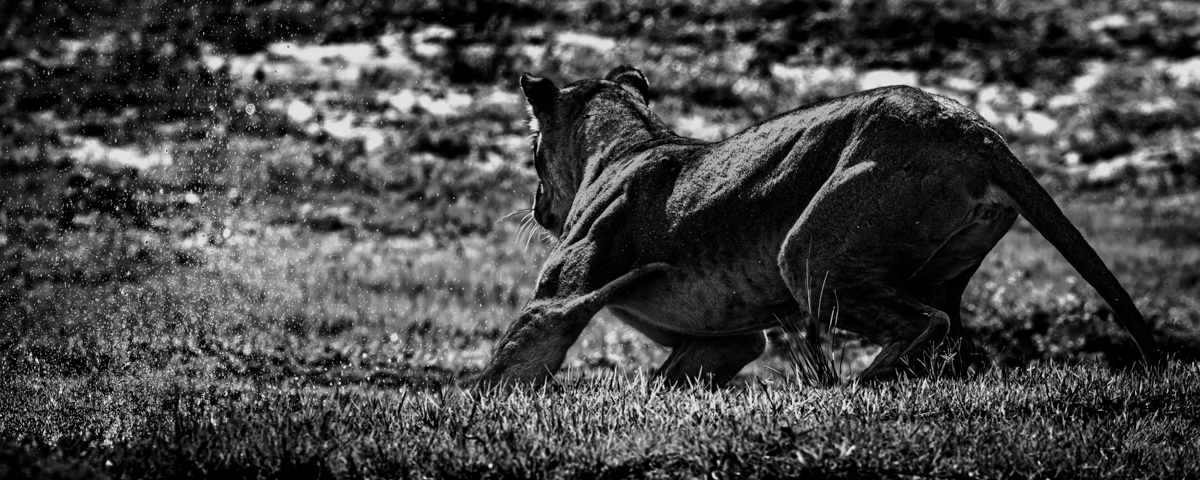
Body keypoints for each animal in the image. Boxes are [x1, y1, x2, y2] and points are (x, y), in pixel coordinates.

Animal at [475, 65, 1159, 388]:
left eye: (531, 152)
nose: (539, 208)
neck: (625, 144)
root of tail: (971, 127)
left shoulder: (556, 301)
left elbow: (501, 374)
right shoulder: (729, 340)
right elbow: (670, 380)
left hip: (806, 253)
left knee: (923, 327)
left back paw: (850, 389)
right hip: (941, 271)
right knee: (954, 348)